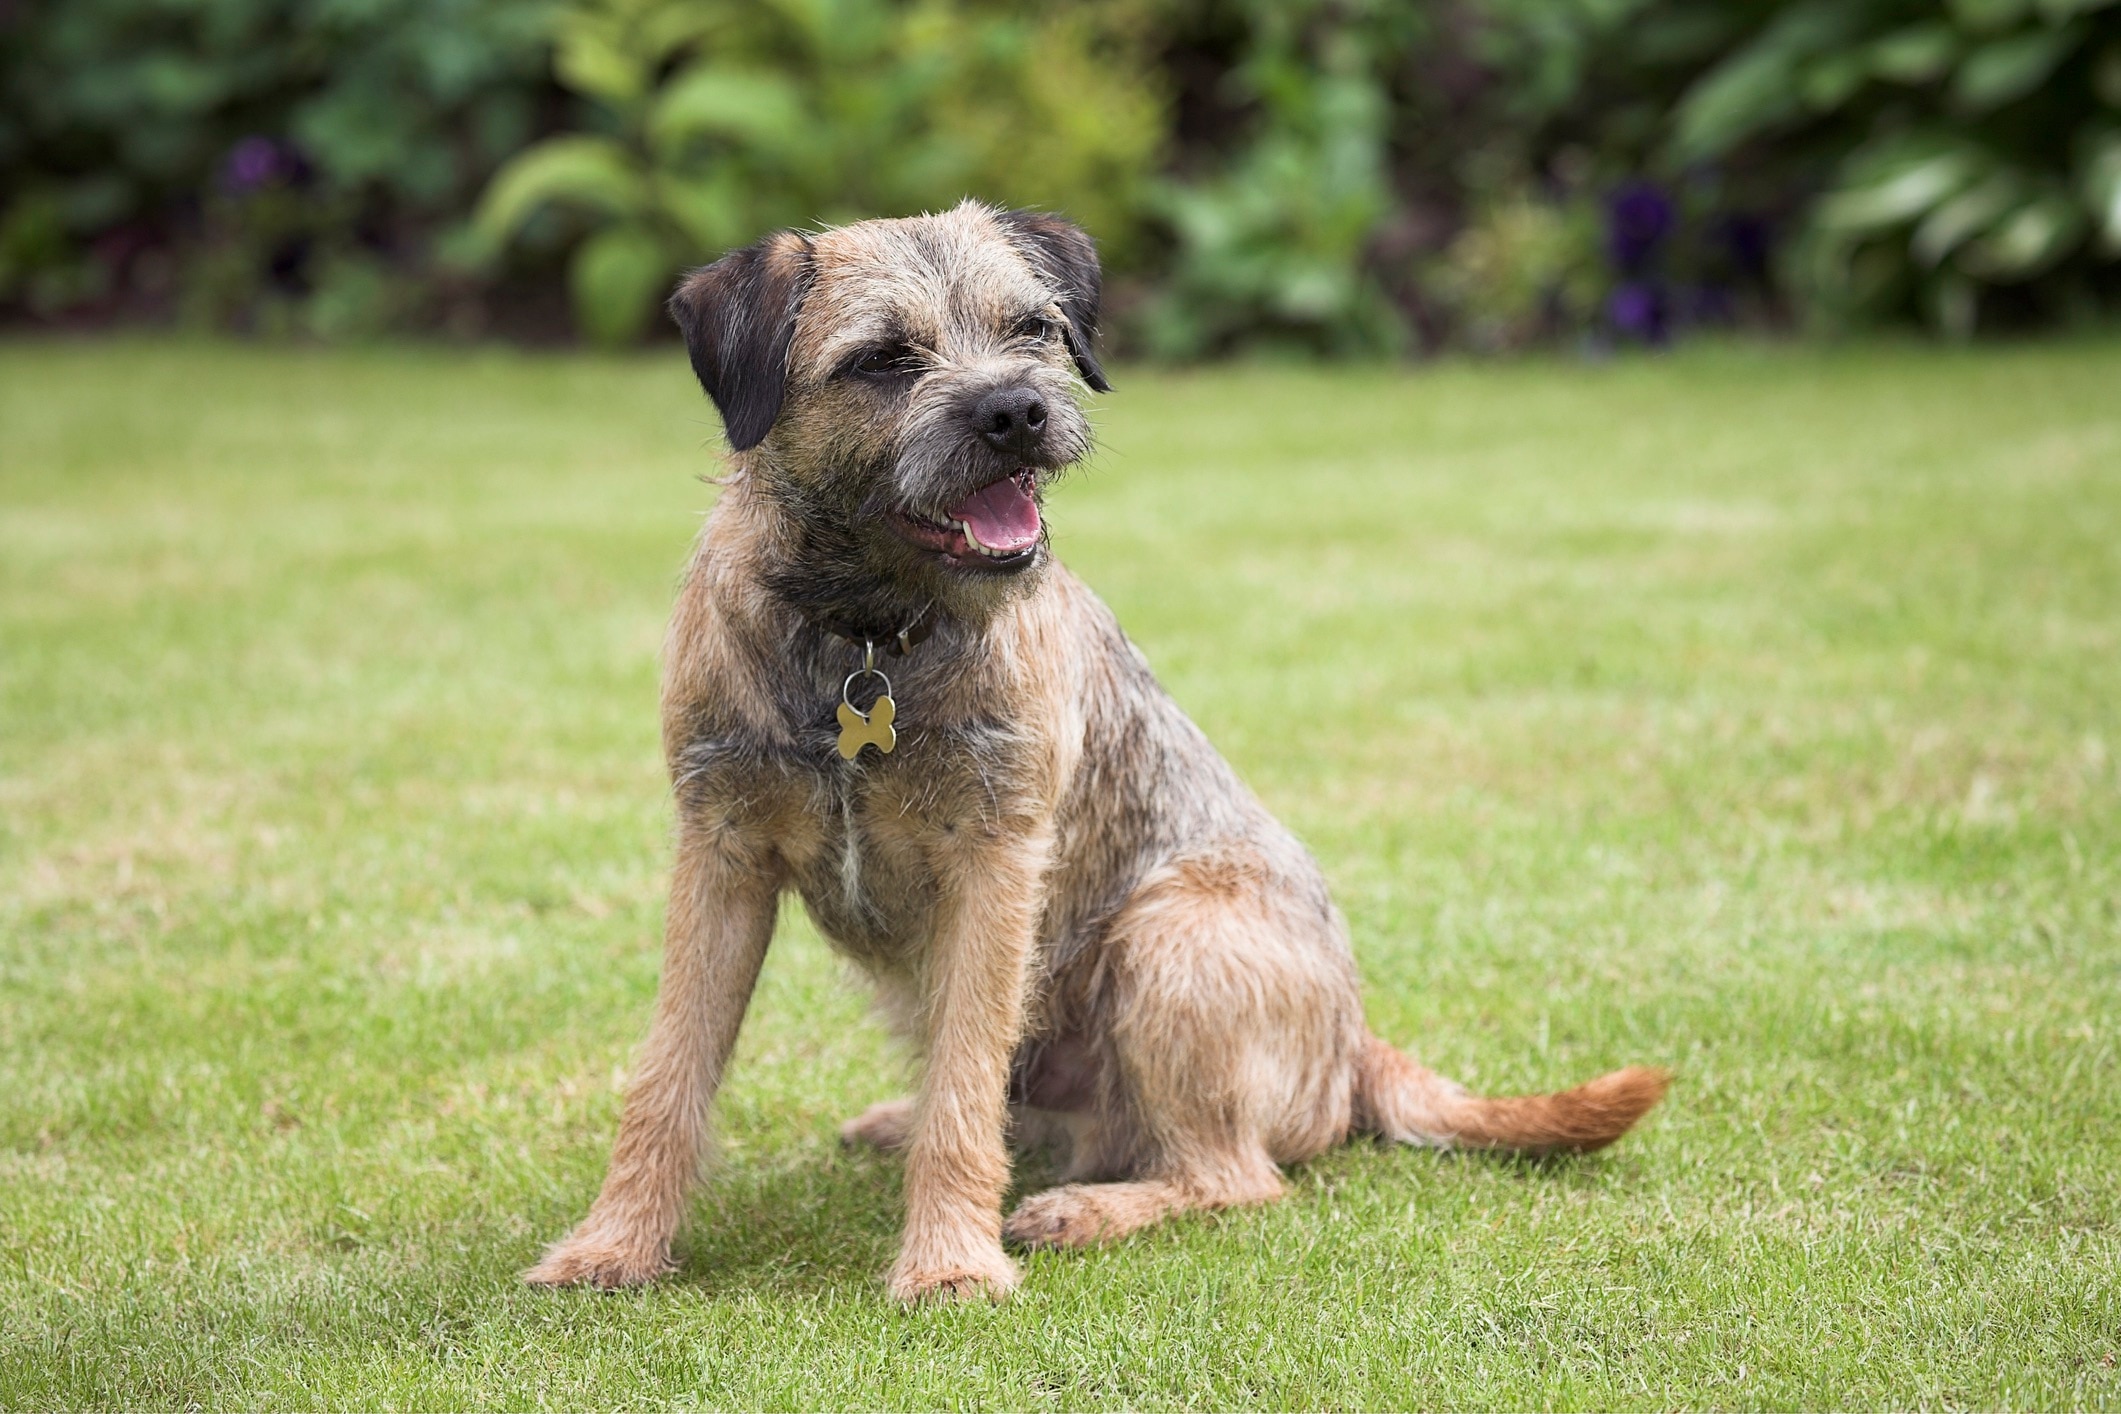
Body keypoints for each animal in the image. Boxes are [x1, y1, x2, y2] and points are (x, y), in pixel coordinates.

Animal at [521, 199, 1662, 1305]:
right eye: (883, 358)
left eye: (1032, 329)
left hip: (1169, 938)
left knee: (1234, 1176)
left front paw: (949, 1262)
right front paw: (614, 1245)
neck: (863, 638)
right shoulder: (719, 853)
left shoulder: (994, 862)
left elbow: (966, 1084)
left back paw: (1084, 1209)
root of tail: (1352, 1042)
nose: (1016, 411)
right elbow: (668, 1073)